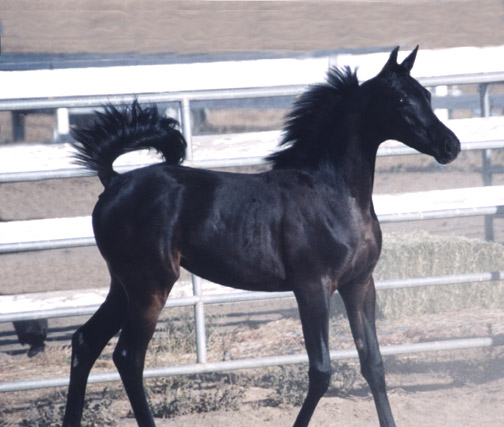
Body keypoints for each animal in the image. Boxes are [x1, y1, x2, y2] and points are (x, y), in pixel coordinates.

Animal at [62, 47, 460, 427]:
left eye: (426, 94)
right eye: (401, 99)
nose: (450, 145)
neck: (334, 194)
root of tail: (114, 180)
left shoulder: (360, 285)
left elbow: (374, 364)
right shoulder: (313, 287)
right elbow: (321, 372)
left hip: (124, 286)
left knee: (86, 342)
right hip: (150, 287)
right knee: (128, 357)